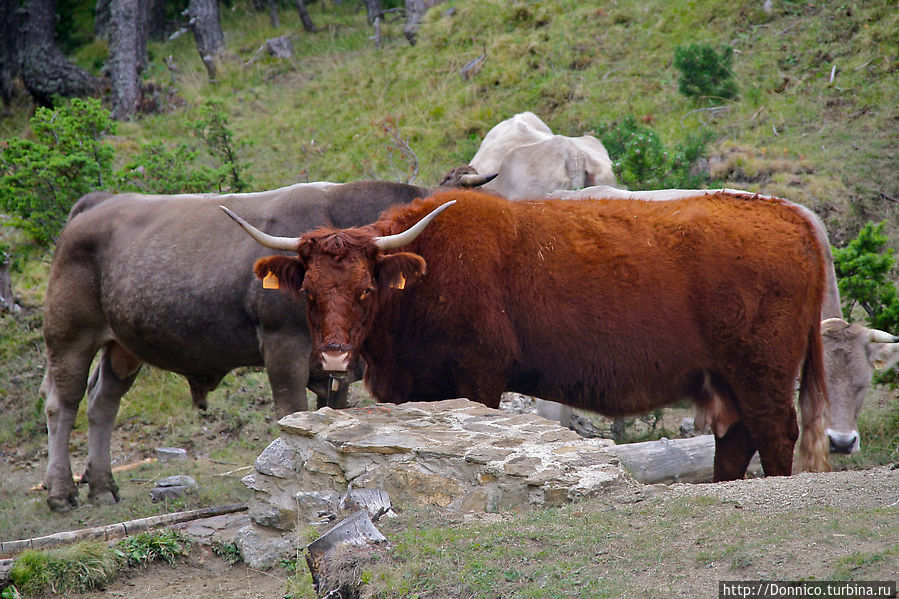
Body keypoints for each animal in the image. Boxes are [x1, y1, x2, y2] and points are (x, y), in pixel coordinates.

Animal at [42, 172, 492, 510]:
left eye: (365, 289)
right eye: (307, 290)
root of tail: (97, 203)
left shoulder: (336, 366)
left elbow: (332, 414)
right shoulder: (283, 348)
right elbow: (292, 411)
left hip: (123, 345)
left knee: (103, 403)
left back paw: (102, 487)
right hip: (69, 336)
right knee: (62, 403)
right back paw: (62, 493)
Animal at [223, 190, 828, 480]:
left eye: (367, 289)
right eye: (309, 291)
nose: (332, 353)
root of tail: (790, 216)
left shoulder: (479, 375)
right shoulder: (409, 388)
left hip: (763, 371)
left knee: (775, 435)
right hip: (727, 379)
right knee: (736, 441)